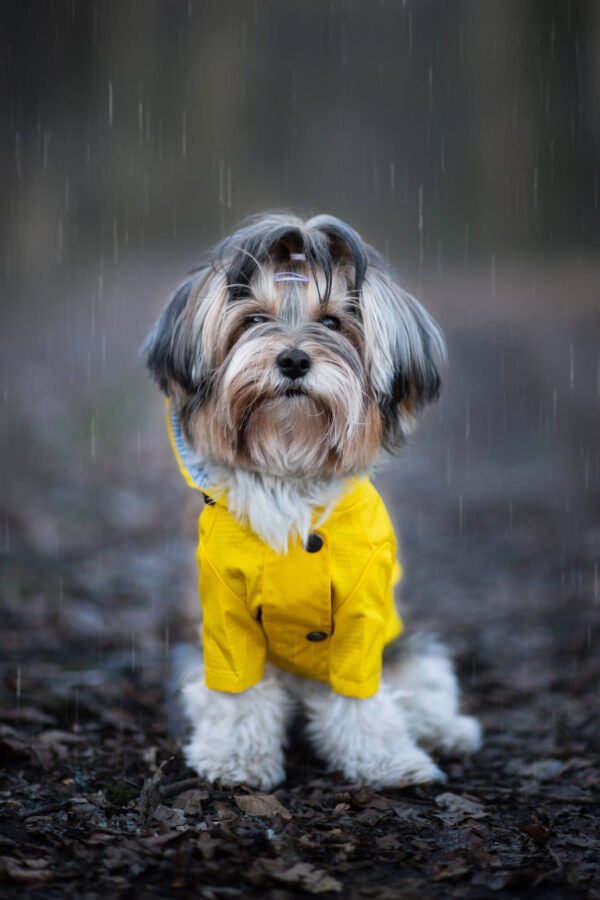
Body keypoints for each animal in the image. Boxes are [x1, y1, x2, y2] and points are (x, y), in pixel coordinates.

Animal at [143, 214, 480, 792]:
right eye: (255, 319)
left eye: (334, 323)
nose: (295, 359)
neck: (290, 472)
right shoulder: (225, 620)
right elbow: (239, 696)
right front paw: (236, 759)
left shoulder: (362, 620)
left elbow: (361, 698)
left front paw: (386, 760)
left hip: (410, 651)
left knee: (426, 690)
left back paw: (449, 732)